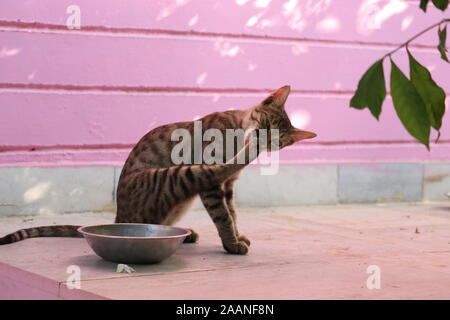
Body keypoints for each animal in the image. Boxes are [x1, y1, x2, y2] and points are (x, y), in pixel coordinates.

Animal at [0, 85, 316, 255]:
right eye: (266, 123)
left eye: (279, 139)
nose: (262, 140)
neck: (236, 129)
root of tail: (119, 219)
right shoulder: (214, 186)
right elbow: (224, 217)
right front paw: (231, 243)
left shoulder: (227, 188)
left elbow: (233, 214)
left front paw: (237, 237)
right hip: (174, 175)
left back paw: (184, 233)